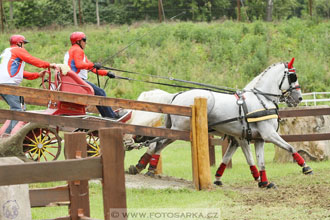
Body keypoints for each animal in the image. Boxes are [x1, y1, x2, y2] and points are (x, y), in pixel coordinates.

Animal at [126, 58, 312, 189]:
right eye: (292, 76)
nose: (299, 98)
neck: (261, 99)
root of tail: (176, 95)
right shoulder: (268, 135)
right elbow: (290, 147)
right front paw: (306, 167)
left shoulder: (256, 139)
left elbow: (258, 161)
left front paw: (264, 182)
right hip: (180, 129)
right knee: (158, 144)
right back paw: (146, 166)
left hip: (174, 129)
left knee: (156, 144)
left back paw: (143, 166)